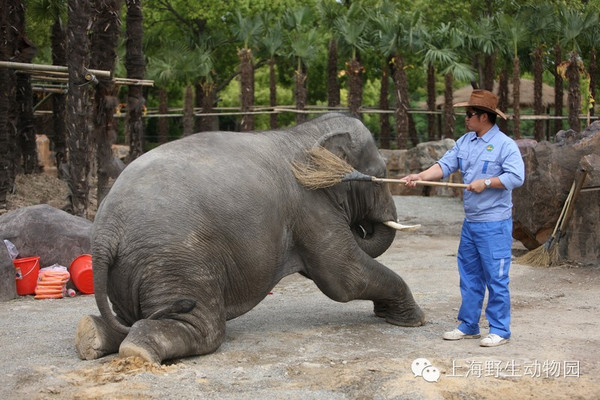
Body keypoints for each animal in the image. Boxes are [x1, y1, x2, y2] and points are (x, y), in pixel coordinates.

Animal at [75, 113, 424, 366]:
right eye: (381, 175)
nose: (361, 225)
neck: (304, 133)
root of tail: (105, 233)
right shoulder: (310, 205)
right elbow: (344, 277)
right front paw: (414, 321)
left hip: (132, 270)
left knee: (124, 319)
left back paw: (90, 336)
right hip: (175, 260)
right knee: (204, 329)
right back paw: (137, 352)